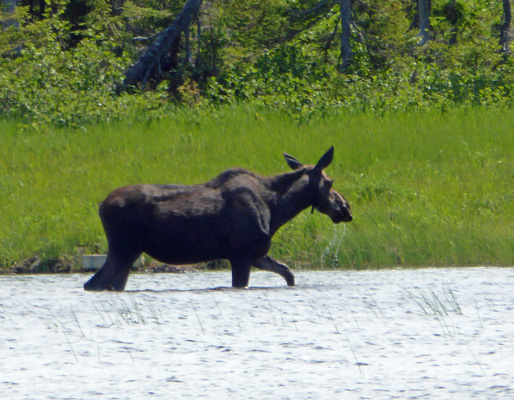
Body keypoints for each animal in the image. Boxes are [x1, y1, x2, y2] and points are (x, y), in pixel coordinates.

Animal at [83, 146, 352, 290]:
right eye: (330, 182)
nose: (345, 209)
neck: (277, 210)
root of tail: (101, 205)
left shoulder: (256, 253)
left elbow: (288, 273)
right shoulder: (241, 254)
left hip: (127, 252)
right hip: (124, 249)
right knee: (95, 283)